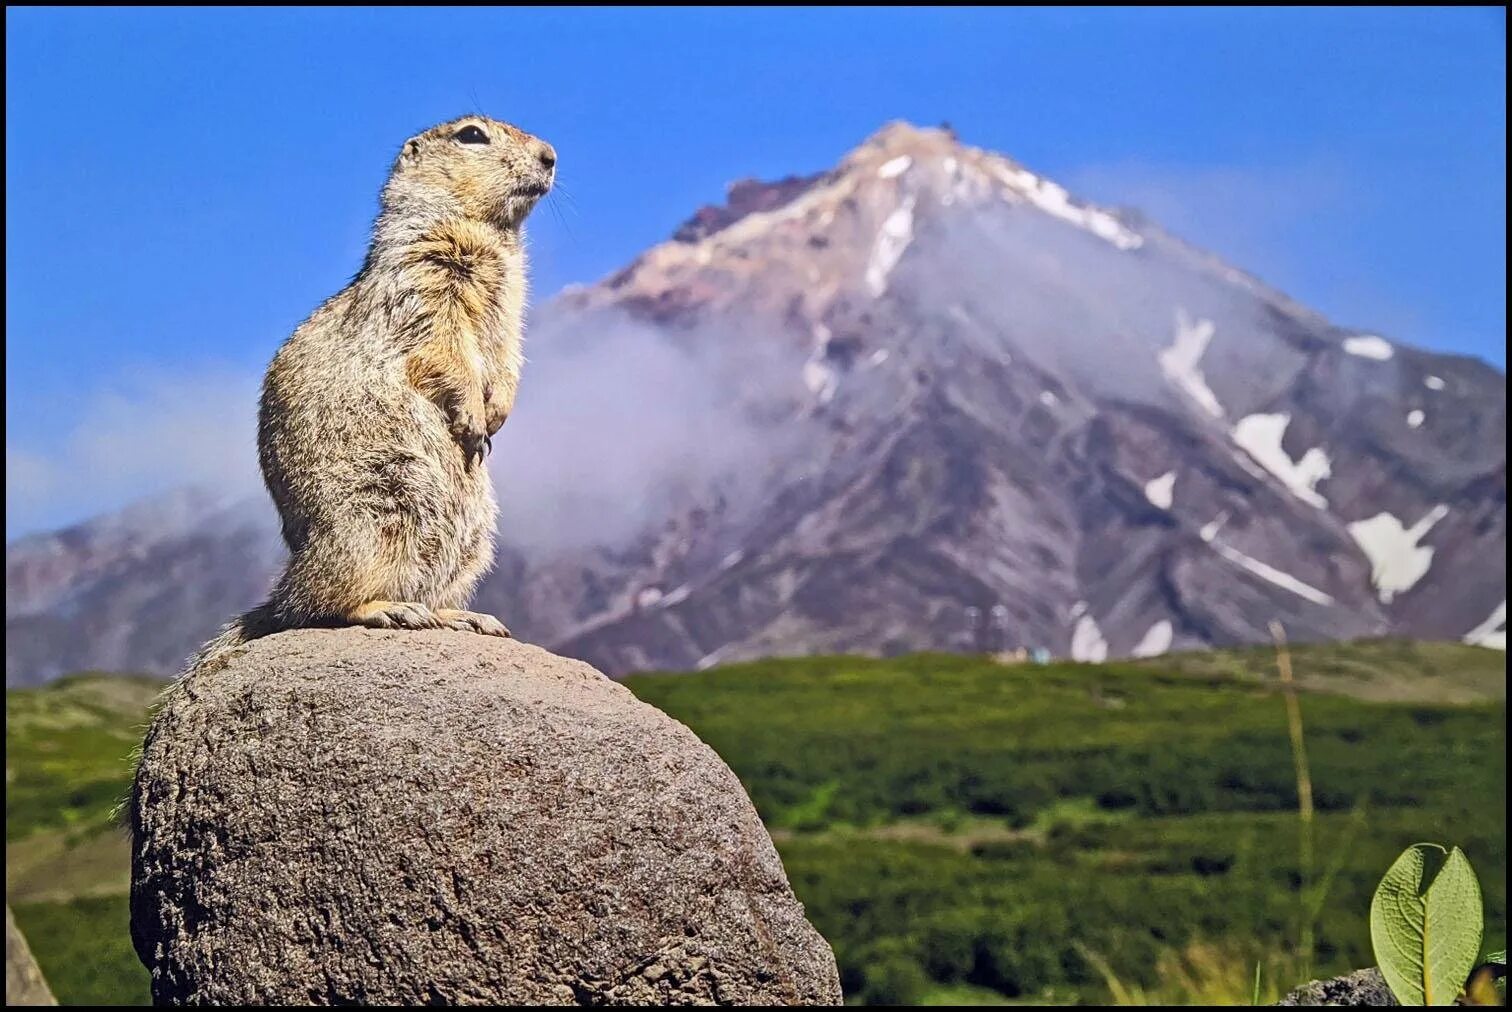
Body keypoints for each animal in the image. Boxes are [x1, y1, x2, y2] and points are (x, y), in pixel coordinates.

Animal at [192, 114, 553, 665]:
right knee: (316, 605)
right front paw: (474, 416)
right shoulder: (421, 276)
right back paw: (388, 610)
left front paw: (497, 413)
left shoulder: (511, 303)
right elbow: (443, 344)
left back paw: (461, 616)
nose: (552, 156)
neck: (489, 237)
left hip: (472, 536)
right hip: (375, 515)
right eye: (472, 135)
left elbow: (508, 353)